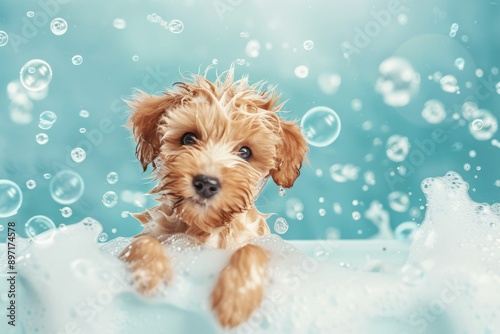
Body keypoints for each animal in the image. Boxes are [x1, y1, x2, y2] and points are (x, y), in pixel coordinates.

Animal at [120, 68, 308, 328]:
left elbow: (252, 250)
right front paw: (150, 273)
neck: (205, 231)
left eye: (245, 152)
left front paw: (236, 296)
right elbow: (143, 242)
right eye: (188, 139)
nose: (206, 183)